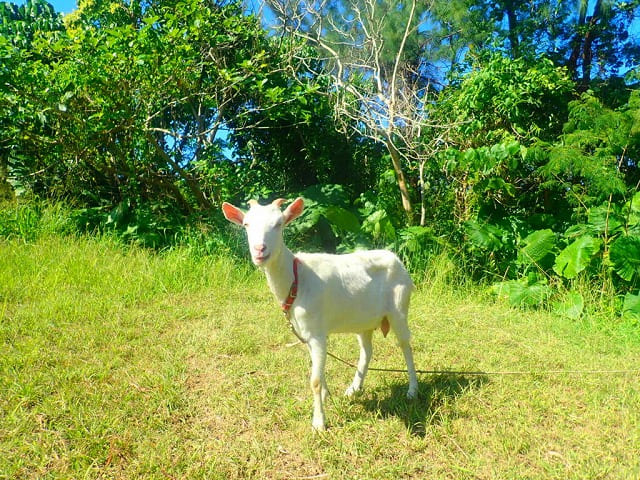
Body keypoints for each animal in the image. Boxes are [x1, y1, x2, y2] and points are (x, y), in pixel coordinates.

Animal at [221, 197, 420, 430]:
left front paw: (318, 422)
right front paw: (325, 396)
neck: (296, 279)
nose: (260, 249)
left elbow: (314, 380)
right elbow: (319, 372)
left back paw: (412, 390)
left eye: (279, 224)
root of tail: (396, 259)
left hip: (399, 306)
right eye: (247, 224)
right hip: (363, 319)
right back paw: (354, 388)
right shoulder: (307, 333)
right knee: (366, 350)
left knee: (405, 345)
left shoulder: (316, 332)